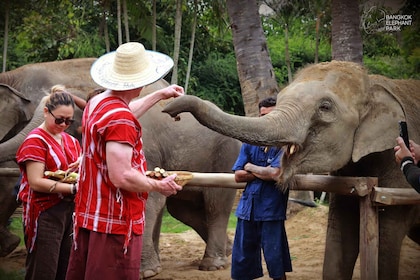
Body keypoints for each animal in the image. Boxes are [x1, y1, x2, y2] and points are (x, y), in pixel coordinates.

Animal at [0, 58, 240, 276]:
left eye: (67, 122)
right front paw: (151, 269)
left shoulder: (147, 147)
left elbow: (150, 199)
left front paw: (145, 272)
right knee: (185, 210)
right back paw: (226, 252)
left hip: (226, 155)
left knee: (215, 205)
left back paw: (212, 265)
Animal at [163, 60, 420, 280]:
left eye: (325, 107)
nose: (171, 108)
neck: (373, 83)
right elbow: (341, 235)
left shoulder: (393, 178)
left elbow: (385, 239)